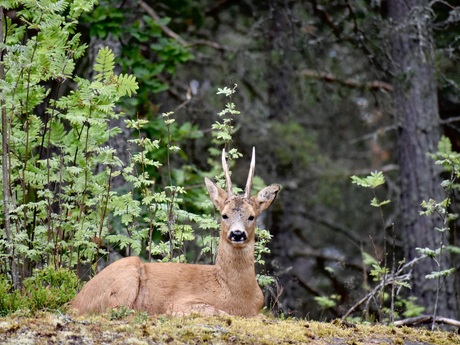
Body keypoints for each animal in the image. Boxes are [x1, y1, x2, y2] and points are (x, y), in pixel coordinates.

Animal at [71, 146, 280, 316]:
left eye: (251, 216)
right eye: (224, 215)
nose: (237, 234)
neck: (233, 293)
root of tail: (74, 302)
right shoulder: (182, 302)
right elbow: (217, 312)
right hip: (125, 275)